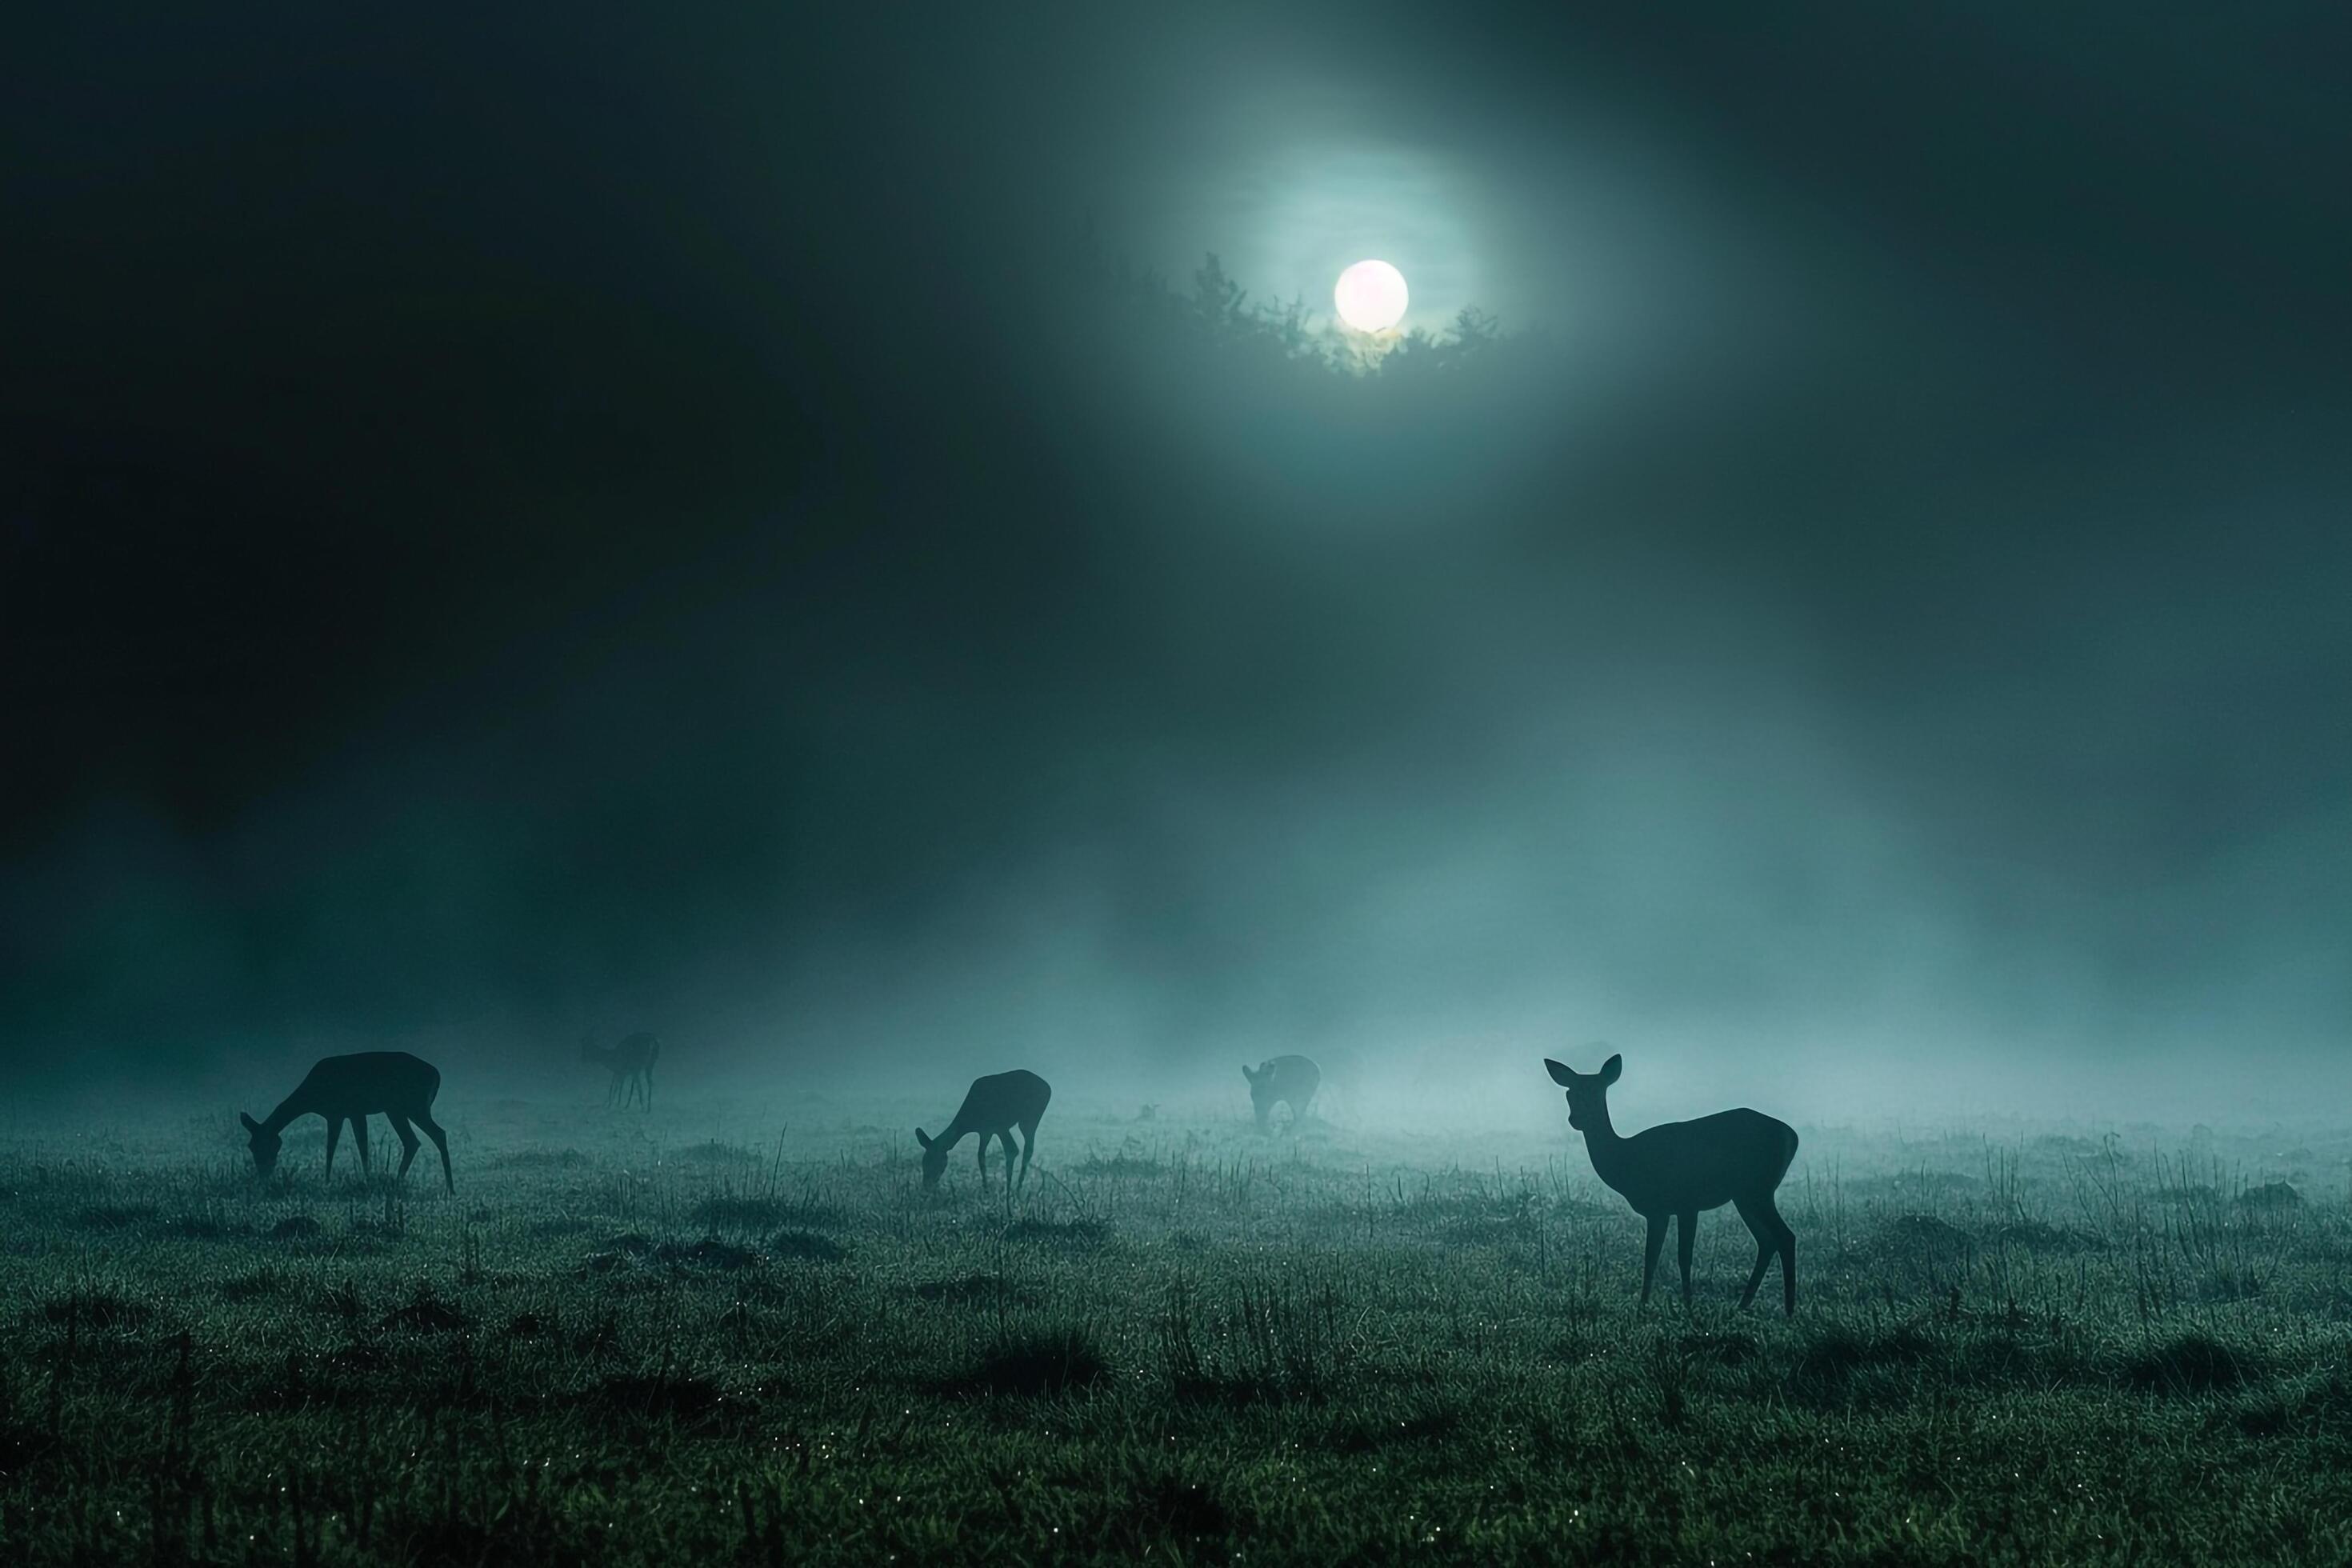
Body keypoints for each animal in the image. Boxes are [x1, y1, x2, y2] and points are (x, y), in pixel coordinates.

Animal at [238, 1048, 454, 1194]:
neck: (312, 1096)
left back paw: (449, 1188)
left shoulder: (347, 1112)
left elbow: (345, 1147)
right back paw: (398, 1182)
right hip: (397, 1109)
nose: (263, 1175)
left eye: (269, 1145)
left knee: (437, 1134)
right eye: (251, 1146)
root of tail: (437, 1074)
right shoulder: (343, 1114)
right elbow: (347, 1146)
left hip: (411, 1106)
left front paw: (332, 1182)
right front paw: (359, 1179)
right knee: (413, 1141)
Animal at [912, 1071, 1054, 1194]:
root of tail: (1048, 1088)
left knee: (1025, 1148)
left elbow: (1011, 1150)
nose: (927, 1185)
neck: (969, 1121)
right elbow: (981, 1156)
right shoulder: (985, 1131)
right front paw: (986, 1188)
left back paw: (1017, 1189)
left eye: (936, 1162)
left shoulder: (999, 1126)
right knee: (1028, 1148)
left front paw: (1006, 1191)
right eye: (924, 1161)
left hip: (1030, 1118)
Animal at [1542, 1048, 1797, 1316]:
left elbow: (1682, 1256)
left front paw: (1687, 1305)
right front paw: (1644, 1304)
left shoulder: (1686, 1203)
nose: (1576, 1119)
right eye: (1570, 1093)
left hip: (1758, 1189)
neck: (1625, 1161)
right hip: (1746, 1195)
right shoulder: (1659, 1211)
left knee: (1785, 1236)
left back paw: (1789, 1309)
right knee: (1767, 1241)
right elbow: (1651, 1256)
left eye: (1598, 1093)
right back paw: (1744, 1304)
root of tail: (1792, 1136)